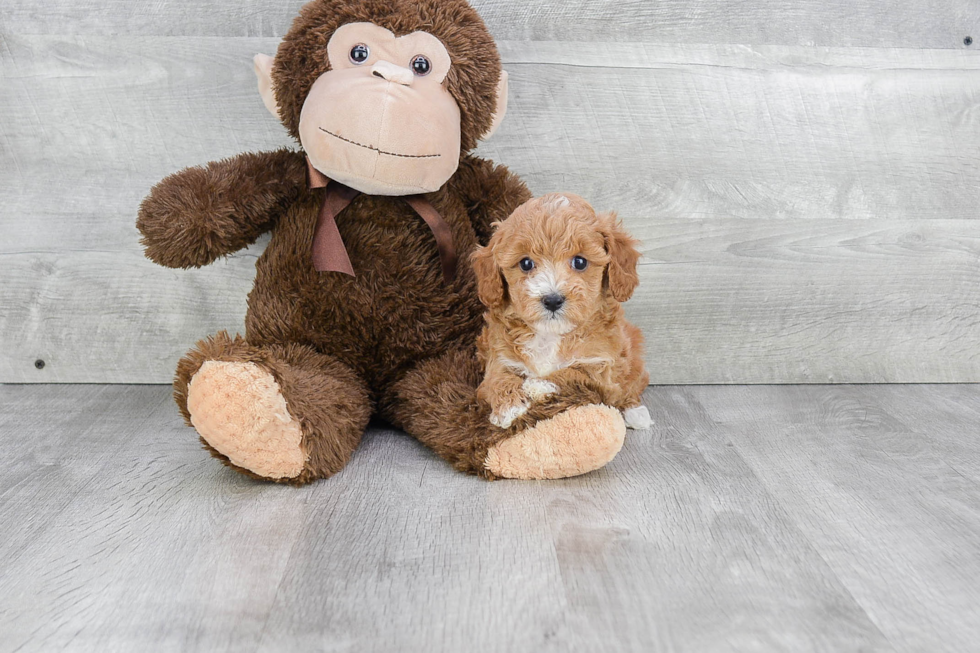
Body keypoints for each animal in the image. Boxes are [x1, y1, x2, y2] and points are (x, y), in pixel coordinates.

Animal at [472, 191, 656, 430]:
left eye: (580, 262)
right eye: (526, 264)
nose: (552, 300)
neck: (550, 335)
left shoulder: (600, 366)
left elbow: (572, 372)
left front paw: (537, 385)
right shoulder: (499, 356)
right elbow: (497, 378)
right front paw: (509, 407)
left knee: (632, 384)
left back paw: (636, 412)